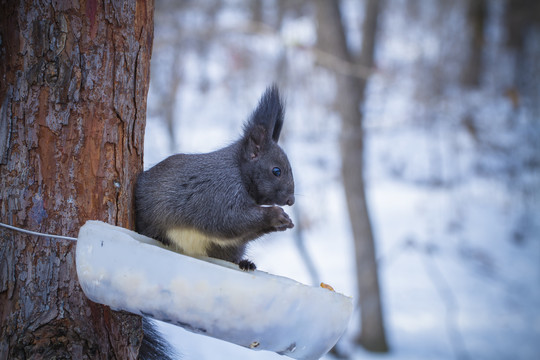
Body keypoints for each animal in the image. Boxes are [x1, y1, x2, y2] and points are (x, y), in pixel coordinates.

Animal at [135, 84, 296, 270]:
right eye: (276, 171)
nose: (291, 200)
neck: (239, 171)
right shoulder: (218, 192)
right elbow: (228, 219)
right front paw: (275, 215)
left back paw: (246, 263)